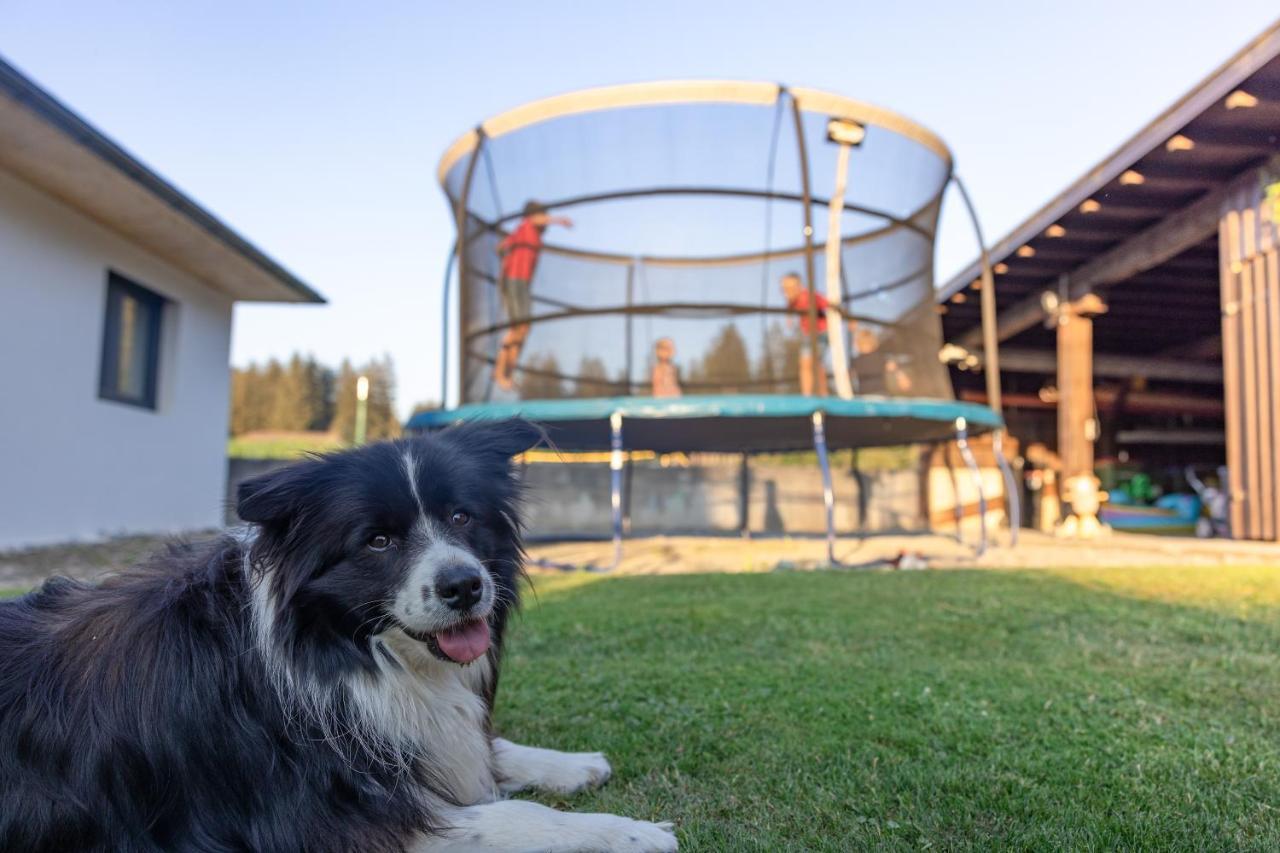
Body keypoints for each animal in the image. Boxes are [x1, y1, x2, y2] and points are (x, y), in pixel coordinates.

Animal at [0, 420, 680, 850]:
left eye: (462, 516)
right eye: (377, 541)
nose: (464, 586)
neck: (344, 646)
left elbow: (475, 750)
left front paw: (572, 764)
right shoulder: (321, 818)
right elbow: (510, 818)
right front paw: (626, 832)